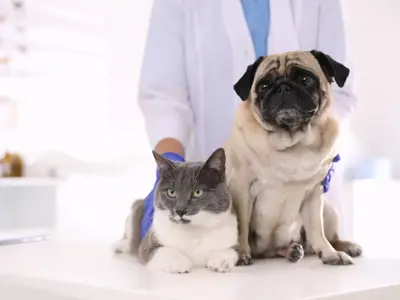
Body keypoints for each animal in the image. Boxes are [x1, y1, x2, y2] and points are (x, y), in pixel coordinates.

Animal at [225, 50, 362, 266]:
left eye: (305, 80)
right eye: (264, 86)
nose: (283, 87)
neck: (291, 141)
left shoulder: (314, 194)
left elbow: (316, 230)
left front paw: (329, 254)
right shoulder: (242, 188)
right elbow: (242, 226)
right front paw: (241, 253)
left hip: (328, 210)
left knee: (326, 237)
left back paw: (340, 247)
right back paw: (290, 251)